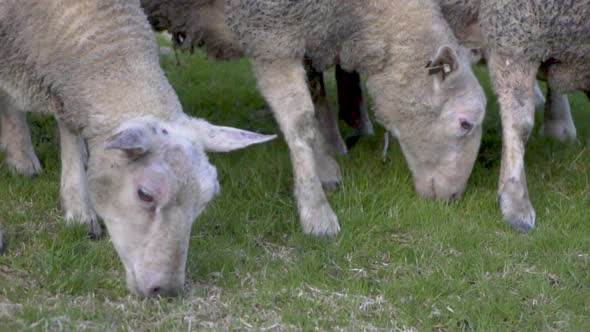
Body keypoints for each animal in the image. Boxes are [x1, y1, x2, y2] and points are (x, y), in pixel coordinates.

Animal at [141, 0, 488, 235]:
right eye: (465, 123)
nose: (453, 197)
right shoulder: (269, 34)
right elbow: (300, 121)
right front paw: (316, 211)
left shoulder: (304, 29)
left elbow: (315, 92)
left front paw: (325, 166)